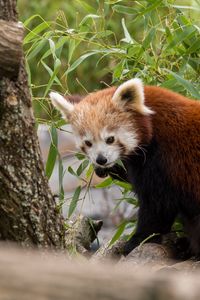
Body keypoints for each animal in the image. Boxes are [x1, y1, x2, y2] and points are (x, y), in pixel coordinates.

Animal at [49, 79, 200, 255]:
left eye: (110, 139)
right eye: (88, 142)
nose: (101, 159)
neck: (153, 124)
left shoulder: (163, 161)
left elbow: (158, 207)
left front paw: (136, 241)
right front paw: (108, 169)